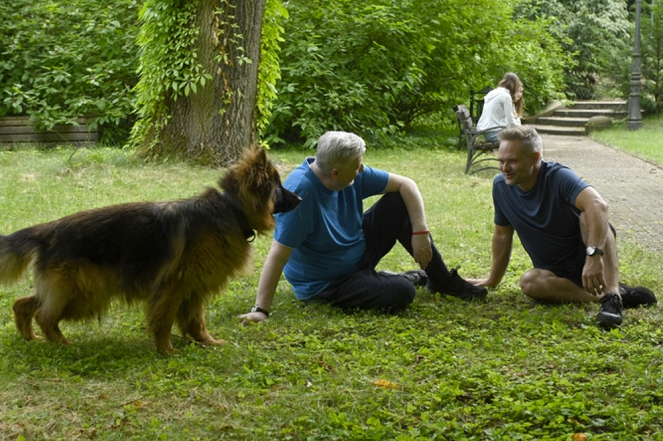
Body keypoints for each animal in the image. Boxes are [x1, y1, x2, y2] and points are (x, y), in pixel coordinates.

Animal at [0, 148, 300, 354]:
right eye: (278, 187)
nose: (300, 198)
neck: (232, 209)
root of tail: (48, 230)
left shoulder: (194, 289)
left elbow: (196, 321)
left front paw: (206, 342)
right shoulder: (172, 288)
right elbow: (164, 320)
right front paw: (166, 350)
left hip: (72, 290)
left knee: (23, 304)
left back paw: (31, 337)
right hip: (84, 291)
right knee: (44, 314)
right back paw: (62, 343)